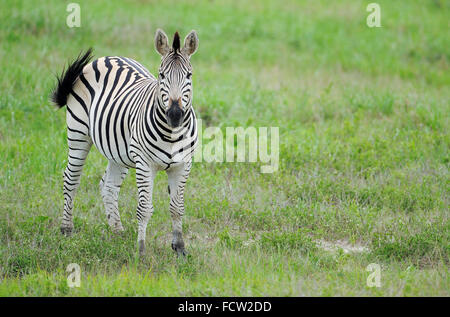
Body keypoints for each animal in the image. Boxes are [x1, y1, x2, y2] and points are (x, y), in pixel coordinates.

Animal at [51, 29, 200, 256]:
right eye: (161, 75)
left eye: (189, 76)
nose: (175, 115)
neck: (172, 133)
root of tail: (107, 58)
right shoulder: (145, 164)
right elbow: (144, 208)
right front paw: (141, 251)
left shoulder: (183, 164)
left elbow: (177, 207)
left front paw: (179, 249)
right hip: (78, 134)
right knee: (71, 179)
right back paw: (66, 229)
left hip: (118, 151)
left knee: (108, 186)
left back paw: (117, 231)